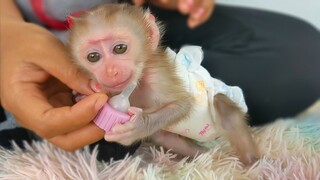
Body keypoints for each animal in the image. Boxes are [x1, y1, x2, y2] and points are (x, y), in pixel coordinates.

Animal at [67, 3, 258, 165]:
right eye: (93, 57)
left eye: (120, 48)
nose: (111, 71)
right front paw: (81, 96)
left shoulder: (157, 76)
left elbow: (182, 105)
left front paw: (137, 127)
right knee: (166, 138)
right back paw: (197, 158)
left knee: (222, 105)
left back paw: (251, 163)